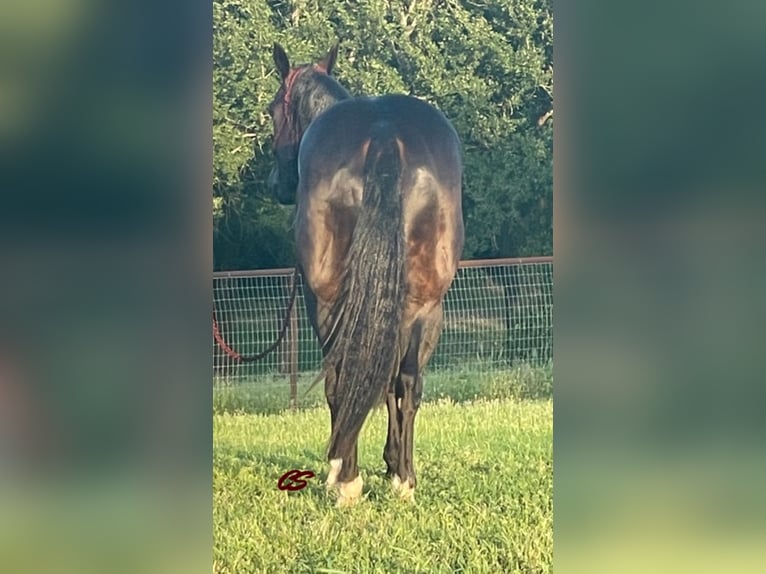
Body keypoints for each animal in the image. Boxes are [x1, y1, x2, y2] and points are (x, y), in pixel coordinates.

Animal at [268, 42, 464, 506]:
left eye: (272, 110)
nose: (275, 182)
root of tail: (384, 134)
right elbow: (390, 379)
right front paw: (393, 465)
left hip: (329, 300)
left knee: (341, 375)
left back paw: (345, 479)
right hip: (428, 303)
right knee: (408, 380)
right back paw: (404, 480)